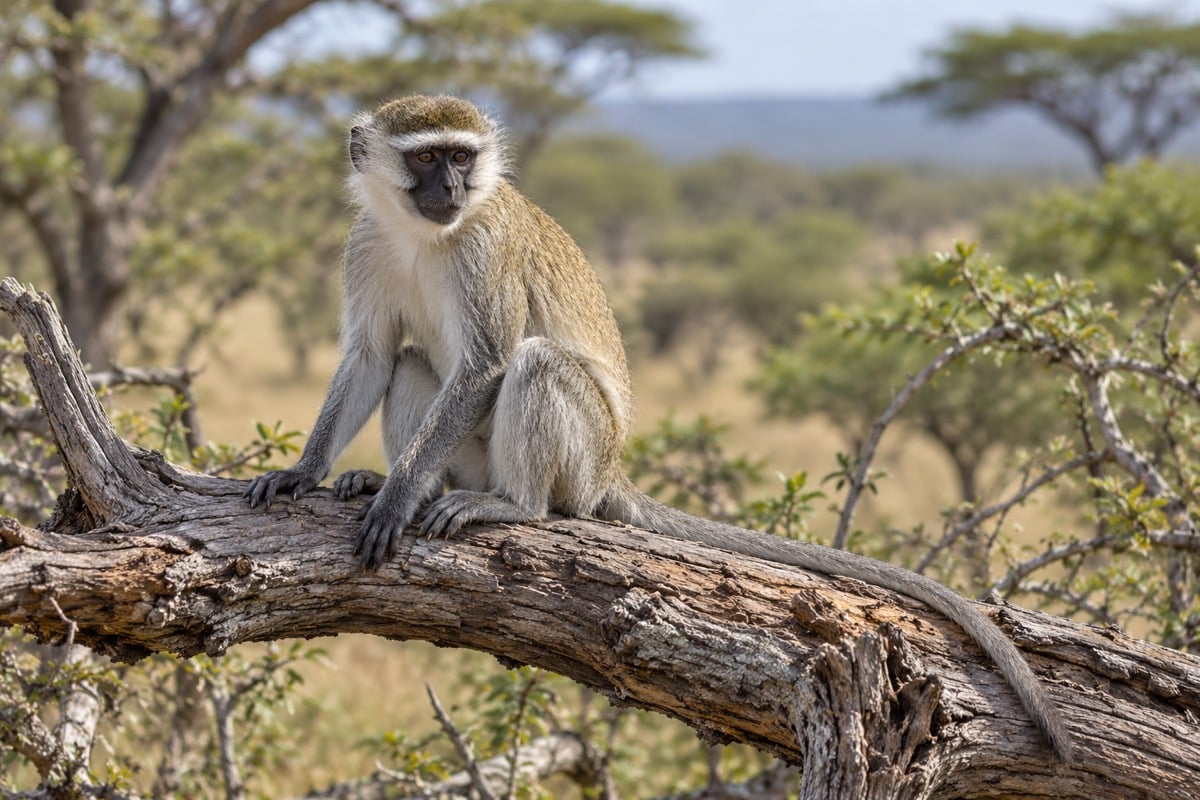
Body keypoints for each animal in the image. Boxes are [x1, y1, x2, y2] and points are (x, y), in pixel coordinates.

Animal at [244, 94, 1073, 762]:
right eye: (425, 157)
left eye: (461, 157)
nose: (449, 189)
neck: (424, 234)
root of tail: (610, 471)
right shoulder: (365, 241)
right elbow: (372, 356)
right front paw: (309, 471)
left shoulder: (486, 251)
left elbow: (484, 366)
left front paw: (393, 503)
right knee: (414, 362)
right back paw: (399, 478)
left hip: (581, 456)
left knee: (537, 369)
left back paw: (509, 505)